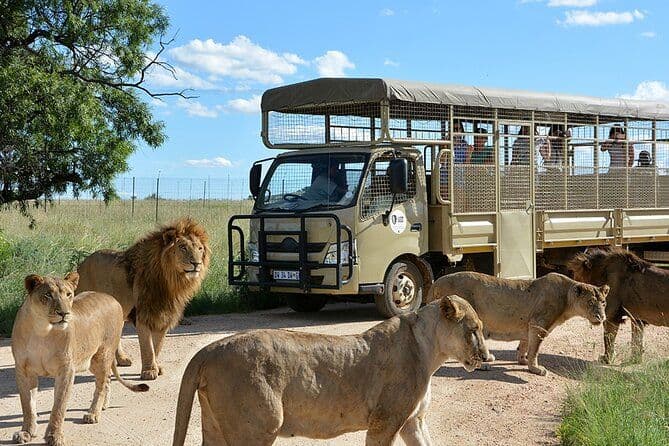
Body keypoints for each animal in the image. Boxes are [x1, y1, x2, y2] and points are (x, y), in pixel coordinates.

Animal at [11, 273, 149, 446]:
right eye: (48, 295)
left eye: (68, 294)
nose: (64, 313)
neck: (42, 330)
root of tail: (112, 298)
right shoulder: (23, 370)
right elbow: (28, 405)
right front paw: (26, 433)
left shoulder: (66, 370)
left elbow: (59, 406)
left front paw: (54, 436)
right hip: (92, 361)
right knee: (107, 379)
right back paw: (104, 406)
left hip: (102, 355)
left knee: (101, 384)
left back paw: (93, 414)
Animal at [76, 217, 210, 380]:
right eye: (183, 247)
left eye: (200, 249)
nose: (196, 263)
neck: (171, 282)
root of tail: (82, 263)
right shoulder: (143, 315)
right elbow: (148, 347)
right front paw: (149, 371)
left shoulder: (164, 316)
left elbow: (157, 346)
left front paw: (156, 367)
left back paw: (121, 360)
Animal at [172, 296, 487, 446]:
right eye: (474, 329)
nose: (486, 356)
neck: (431, 351)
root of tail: (209, 349)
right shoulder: (384, 422)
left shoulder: (413, 422)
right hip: (258, 427)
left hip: (215, 425)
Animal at [427, 272, 609, 376]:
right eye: (590, 302)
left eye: (603, 302)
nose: (601, 317)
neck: (567, 298)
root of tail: (435, 283)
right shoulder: (539, 324)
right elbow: (535, 349)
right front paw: (535, 368)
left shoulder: (529, 325)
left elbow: (525, 344)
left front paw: (522, 360)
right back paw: (483, 365)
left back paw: (489, 358)